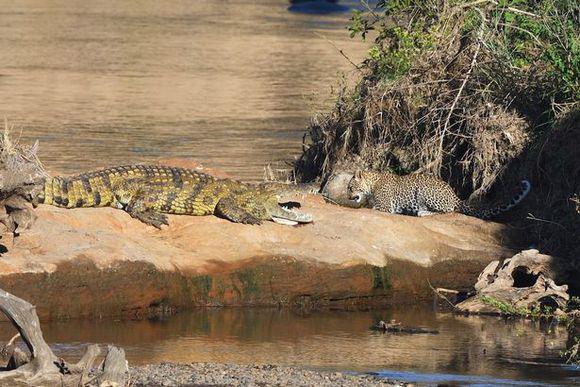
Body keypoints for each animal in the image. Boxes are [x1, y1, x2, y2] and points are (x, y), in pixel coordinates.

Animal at [346, 171, 532, 220]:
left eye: (350, 187)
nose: (348, 197)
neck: (372, 184)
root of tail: (456, 197)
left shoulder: (386, 206)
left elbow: (373, 207)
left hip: (423, 191)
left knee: (448, 210)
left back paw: (422, 212)